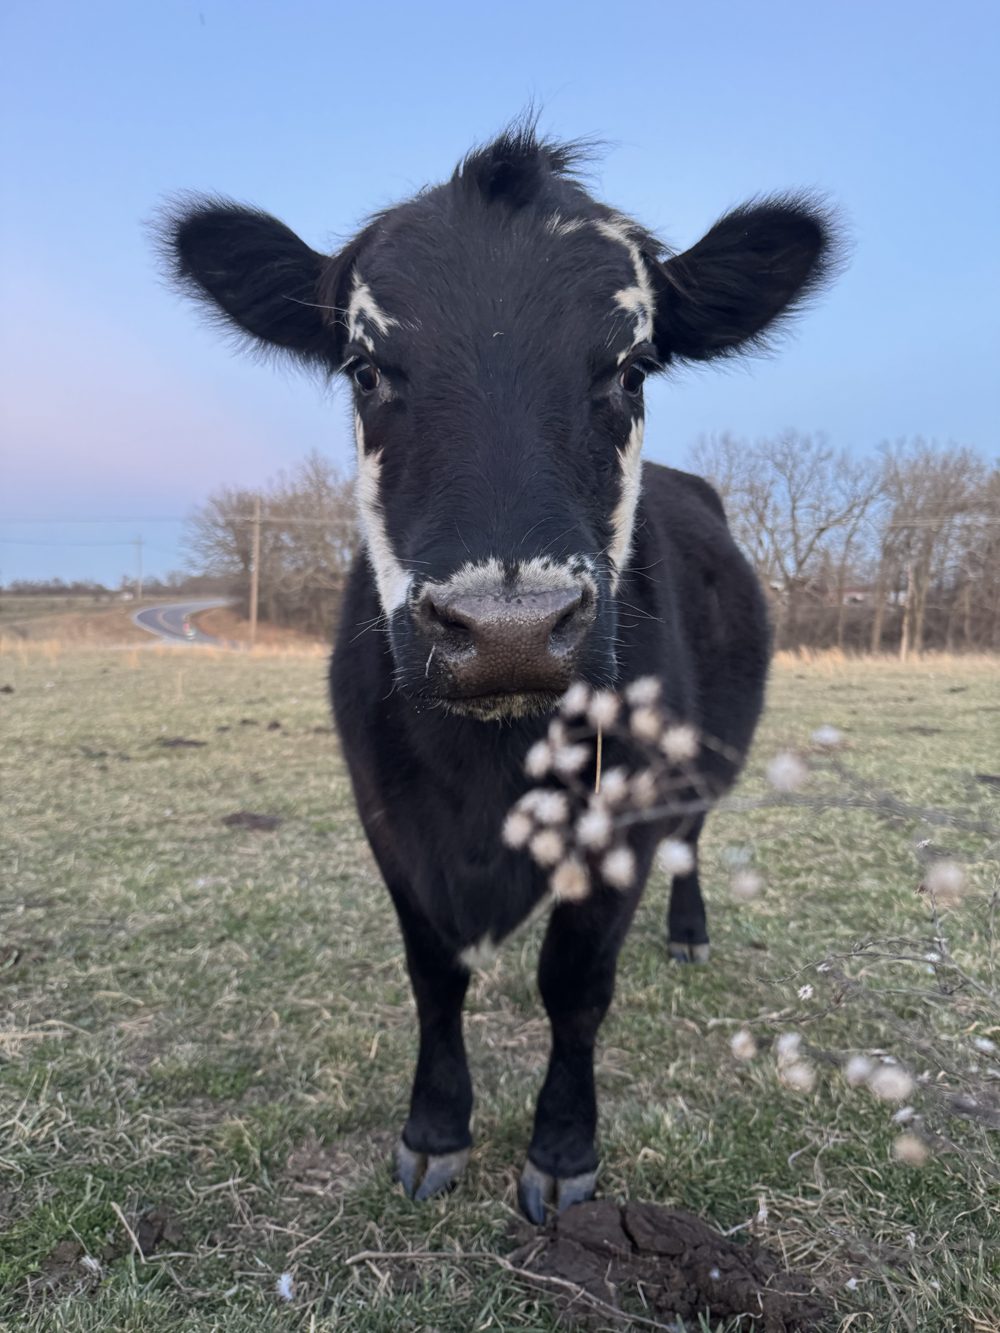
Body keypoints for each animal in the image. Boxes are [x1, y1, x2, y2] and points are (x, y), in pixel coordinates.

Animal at [162, 123, 837, 1222]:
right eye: (364, 368)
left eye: (631, 367)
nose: (509, 629)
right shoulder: (387, 812)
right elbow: (433, 973)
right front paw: (434, 1130)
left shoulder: (624, 805)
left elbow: (575, 981)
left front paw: (562, 1147)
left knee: (692, 837)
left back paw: (688, 931)